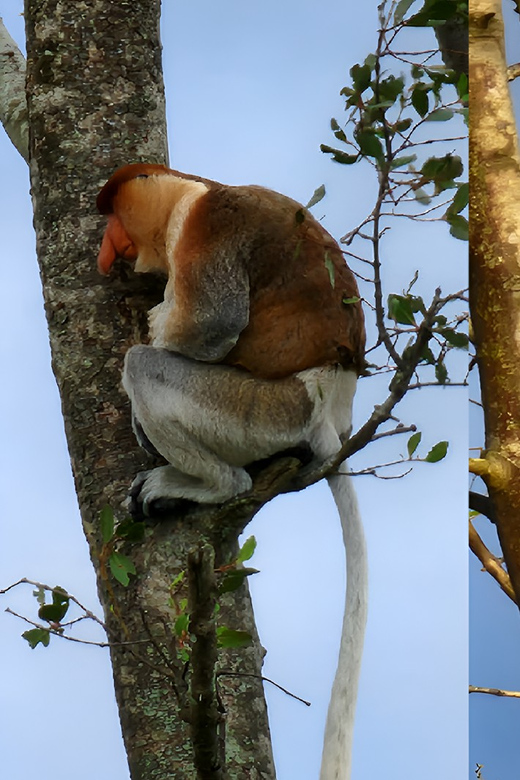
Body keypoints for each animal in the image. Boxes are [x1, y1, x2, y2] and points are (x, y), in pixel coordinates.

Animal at [96, 165, 366, 780]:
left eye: (115, 214)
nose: (105, 250)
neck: (191, 190)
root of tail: (332, 417)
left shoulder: (209, 227)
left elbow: (207, 328)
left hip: (255, 412)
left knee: (147, 367)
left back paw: (199, 486)